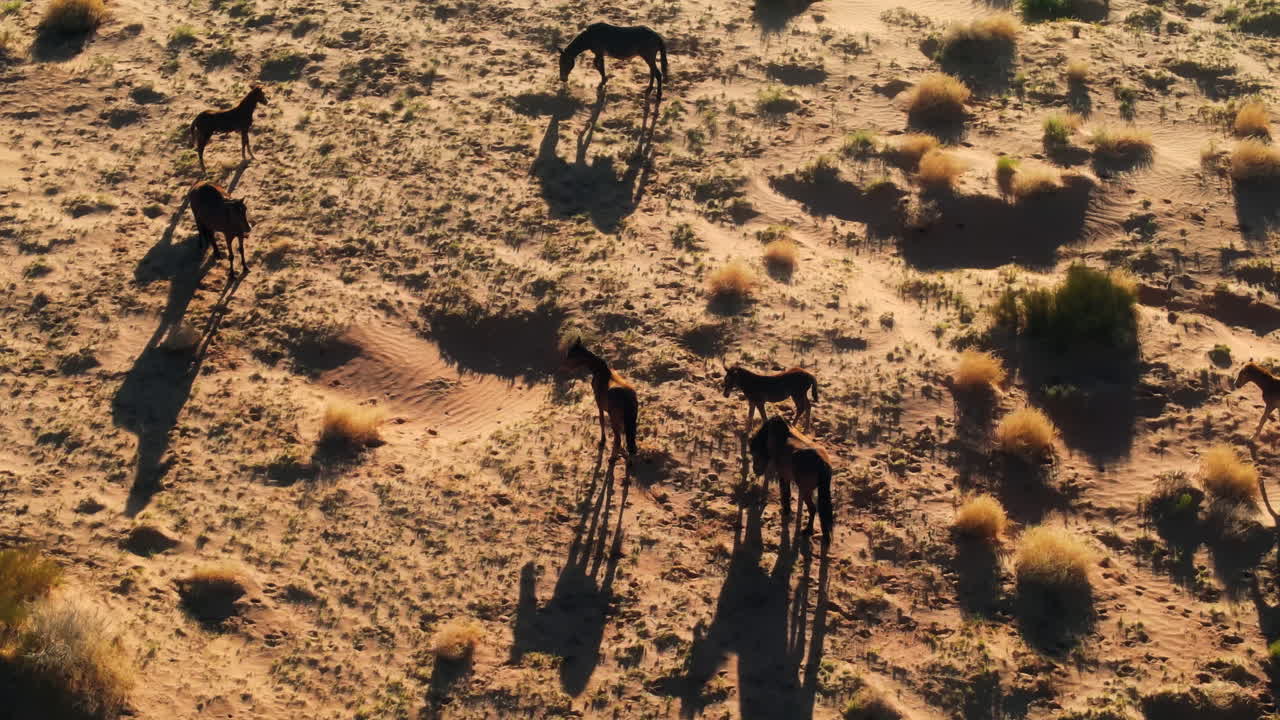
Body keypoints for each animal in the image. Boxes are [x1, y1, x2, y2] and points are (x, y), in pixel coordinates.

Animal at [749, 416, 834, 546]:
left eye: (755, 452)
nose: (755, 470)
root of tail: (822, 463)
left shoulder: (784, 475)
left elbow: (785, 493)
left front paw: (786, 510)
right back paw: (824, 535)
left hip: (805, 490)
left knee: (813, 508)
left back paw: (808, 530)